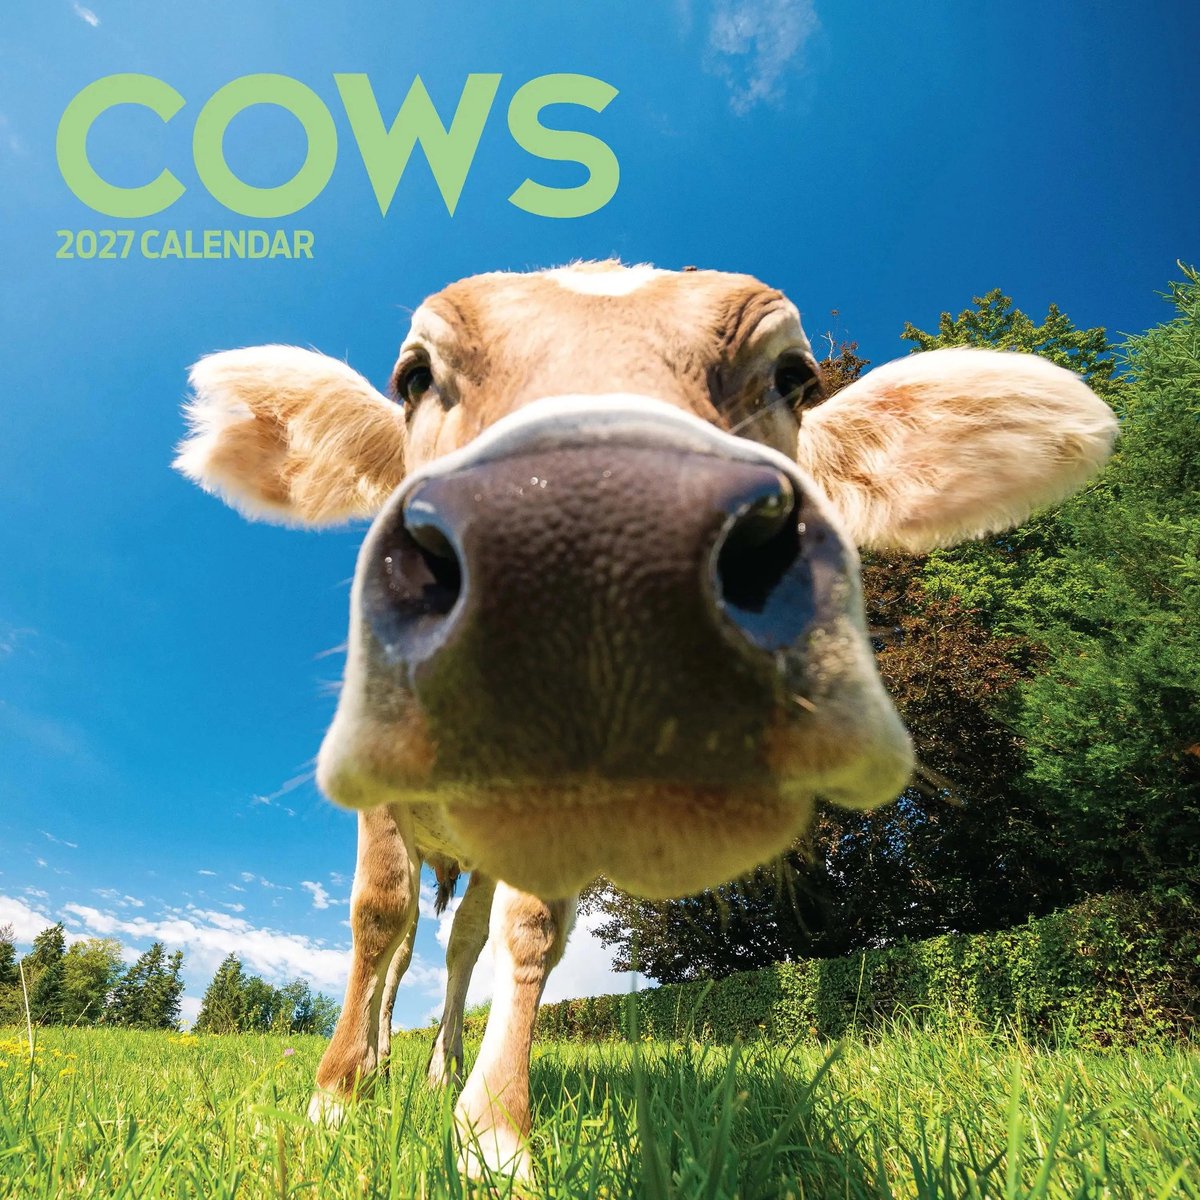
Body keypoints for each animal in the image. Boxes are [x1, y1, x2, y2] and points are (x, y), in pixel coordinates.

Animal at [174, 262, 1116, 1181]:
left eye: (794, 377)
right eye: (414, 377)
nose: (594, 544)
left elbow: (527, 936)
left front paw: (494, 1130)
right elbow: (377, 916)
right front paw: (336, 1098)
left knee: (463, 943)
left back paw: (443, 1066)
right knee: (402, 946)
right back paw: (374, 1059)